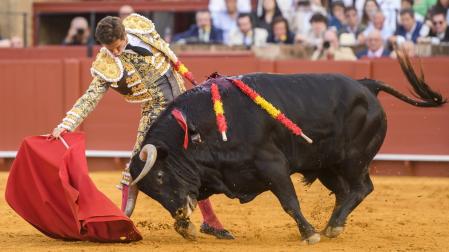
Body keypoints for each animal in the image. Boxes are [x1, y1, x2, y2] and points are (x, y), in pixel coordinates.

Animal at [128, 57, 442, 244]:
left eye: (159, 177)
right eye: (151, 192)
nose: (181, 214)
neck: (201, 129)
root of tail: (366, 85)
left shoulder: (272, 165)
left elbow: (289, 201)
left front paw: (309, 234)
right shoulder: (215, 175)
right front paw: (188, 228)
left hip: (354, 159)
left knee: (362, 187)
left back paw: (332, 227)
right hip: (326, 164)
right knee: (345, 192)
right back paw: (333, 225)